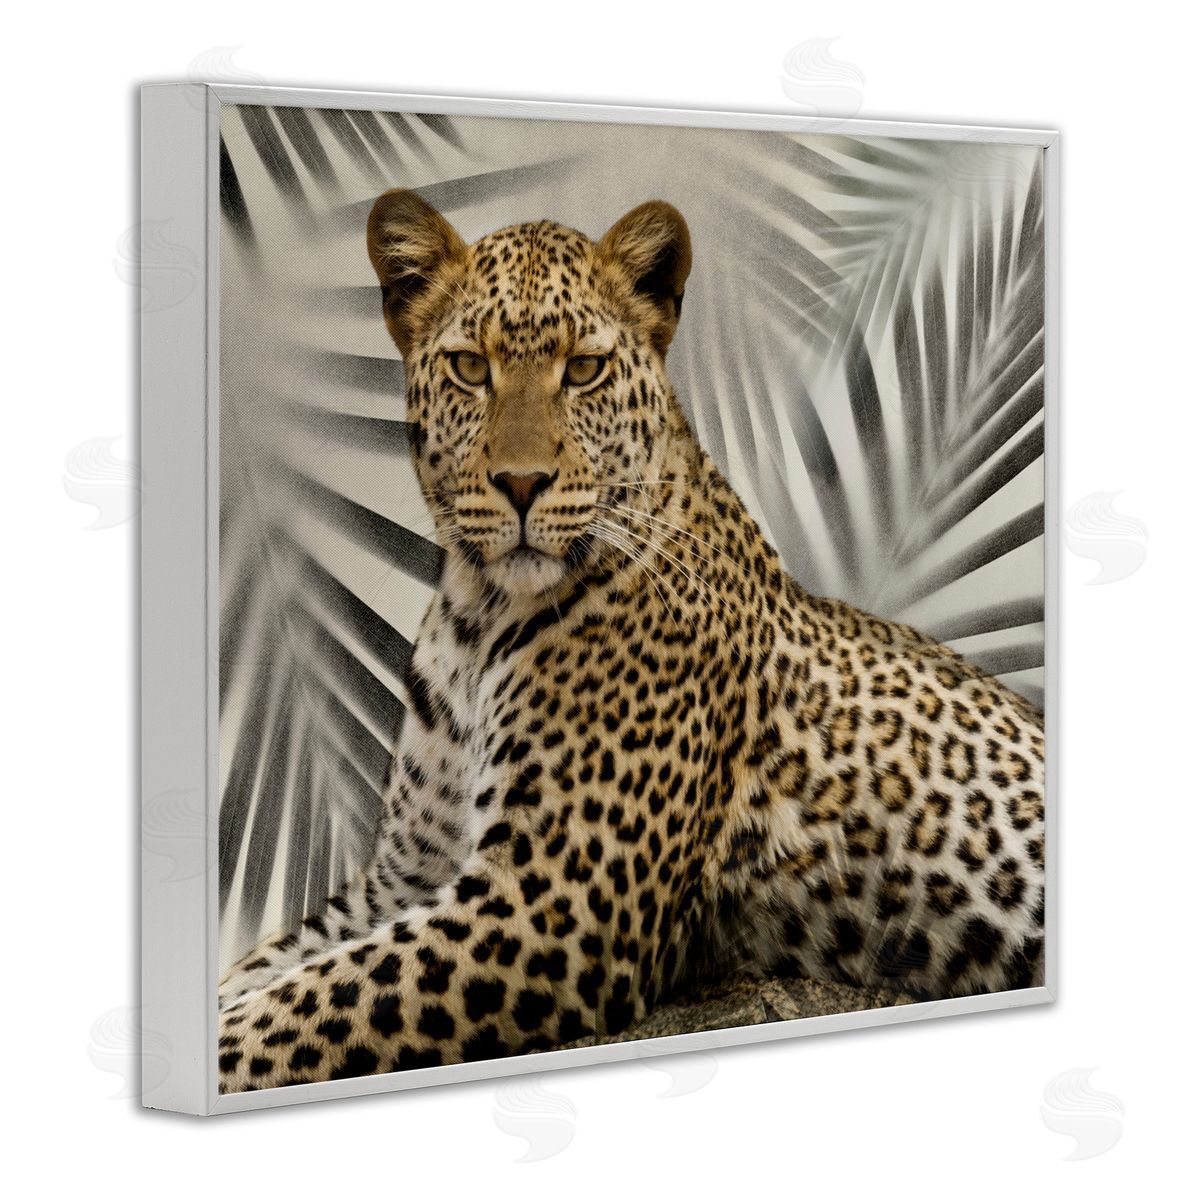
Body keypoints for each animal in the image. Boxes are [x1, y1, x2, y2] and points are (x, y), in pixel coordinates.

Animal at [217, 188, 1046, 1092]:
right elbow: (268, 971)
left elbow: (293, 1010)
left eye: (583, 370)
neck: (476, 615)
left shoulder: (552, 902)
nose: (520, 484)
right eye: (470, 367)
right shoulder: (402, 878)